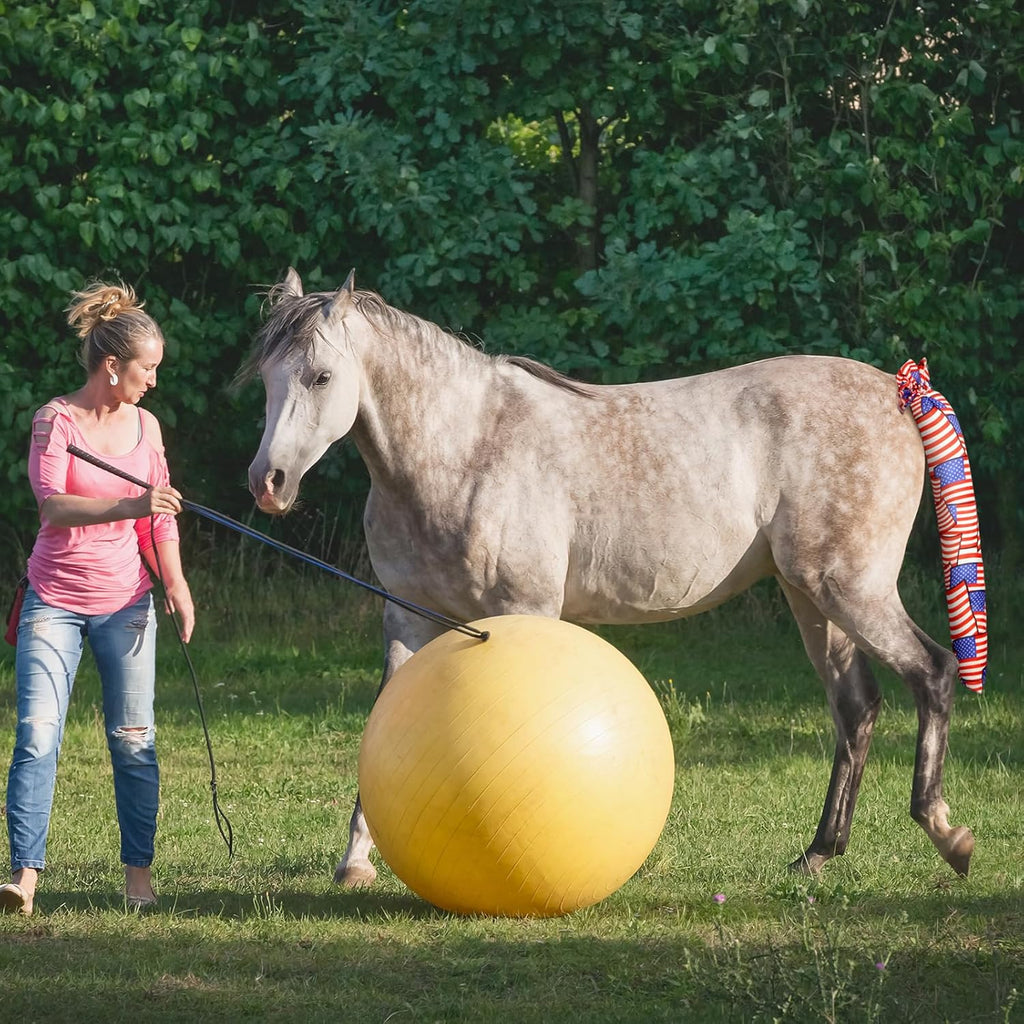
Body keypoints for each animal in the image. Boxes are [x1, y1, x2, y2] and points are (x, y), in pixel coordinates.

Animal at [241, 267, 977, 888]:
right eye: (267, 378)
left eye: (322, 376)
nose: (267, 483)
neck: (464, 450)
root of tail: (895, 390)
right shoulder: (406, 616)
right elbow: (380, 723)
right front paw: (355, 863)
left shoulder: (525, 609)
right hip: (810, 596)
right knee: (856, 707)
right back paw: (818, 854)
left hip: (850, 589)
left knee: (933, 673)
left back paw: (947, 835)